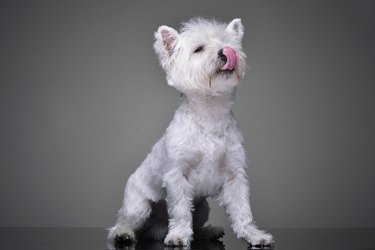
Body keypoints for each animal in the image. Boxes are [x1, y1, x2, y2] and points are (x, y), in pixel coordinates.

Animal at [107, 17, 274, 248]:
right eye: (199, 49)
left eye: (228, 43)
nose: (226, 52)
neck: (210, 113)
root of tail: (156, 228)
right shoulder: (177, 176)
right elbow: (180, 211)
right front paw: (178, 236)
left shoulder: (235, 175)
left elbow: (242, 210)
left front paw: (254, 236)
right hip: (138, 205)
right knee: (122, 223)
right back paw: (124, 234)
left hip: (203, 207)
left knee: (197, 223)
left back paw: (210, 231)